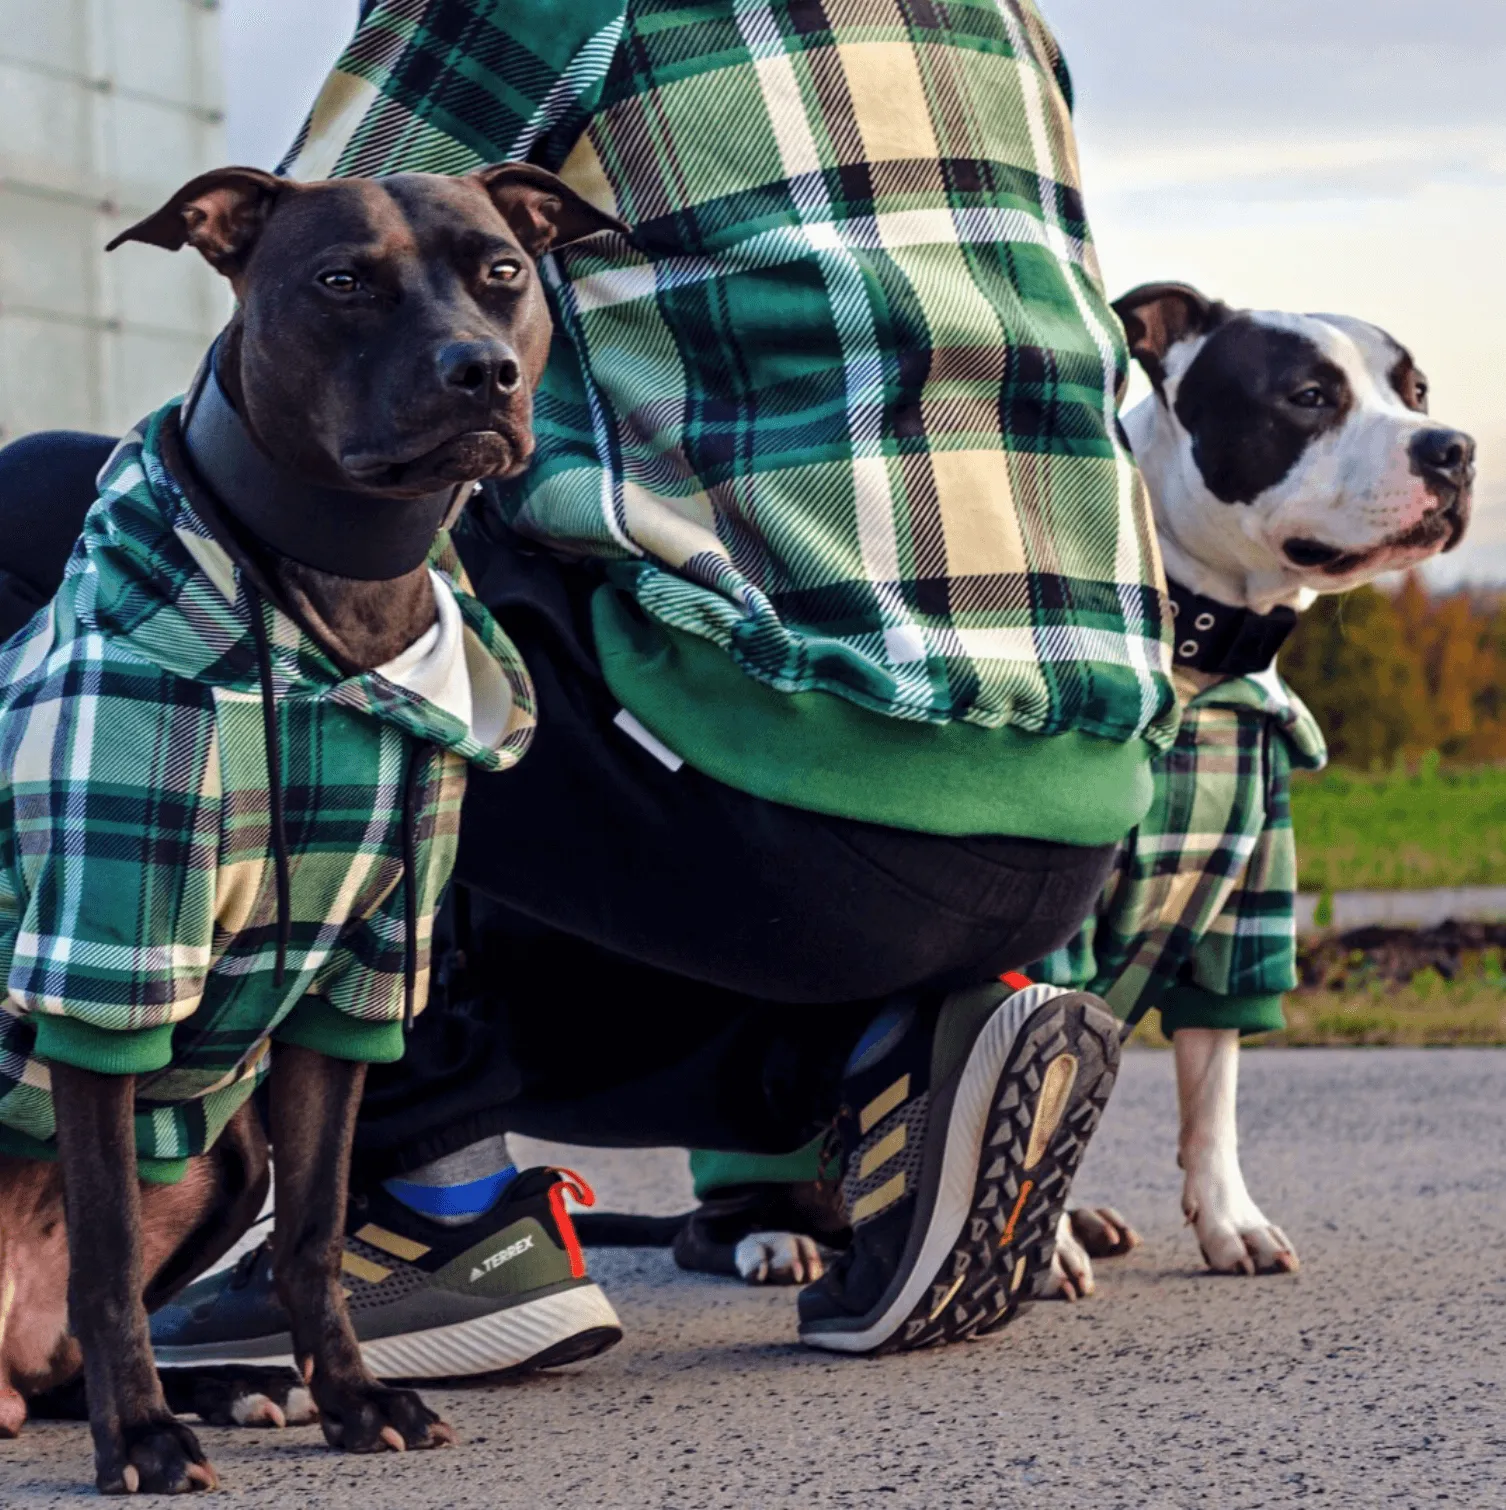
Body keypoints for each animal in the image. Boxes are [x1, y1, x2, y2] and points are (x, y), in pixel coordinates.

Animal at [0, 159, 616, 1491]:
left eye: (502, 269)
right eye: (341, 281)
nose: (482, 369)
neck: (338, 593)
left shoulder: (361, 976)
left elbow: (319, 1234)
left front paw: (351, 1397)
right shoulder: (105, 959)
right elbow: (107, 1256)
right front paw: (144, 1440)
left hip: (229, 1154)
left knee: (56, 1357)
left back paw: (232, 1385)